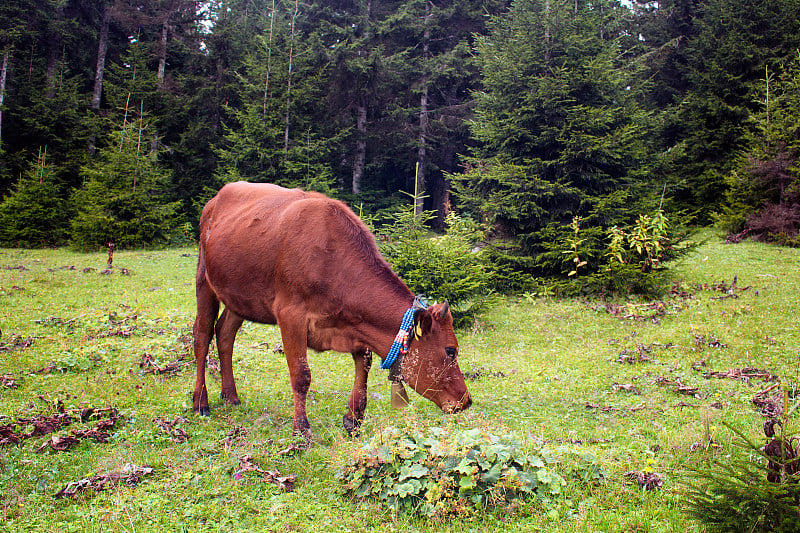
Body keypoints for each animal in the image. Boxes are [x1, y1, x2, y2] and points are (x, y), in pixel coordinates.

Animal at [191, 181, 472, 438]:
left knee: (225, 333)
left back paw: (231, 396)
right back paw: (200, 402)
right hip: (204, 277)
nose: (466, 400)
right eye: (451, 350)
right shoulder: (290, 314)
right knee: (202, 335)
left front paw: (354, 419)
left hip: (239, 295)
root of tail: (216, 198)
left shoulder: (356, 325)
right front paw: (301, 429)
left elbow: (364, 366)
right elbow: (301, 375)